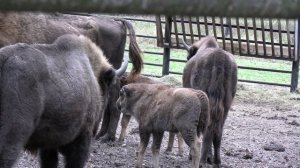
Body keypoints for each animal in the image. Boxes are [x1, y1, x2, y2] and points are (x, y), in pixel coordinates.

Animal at [182, 35, 238, 167]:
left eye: (187, 56)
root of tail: (219, 58)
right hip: (226, 105)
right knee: (217, 131)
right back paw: (216, 161)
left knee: (208, 129)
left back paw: (201, 161)